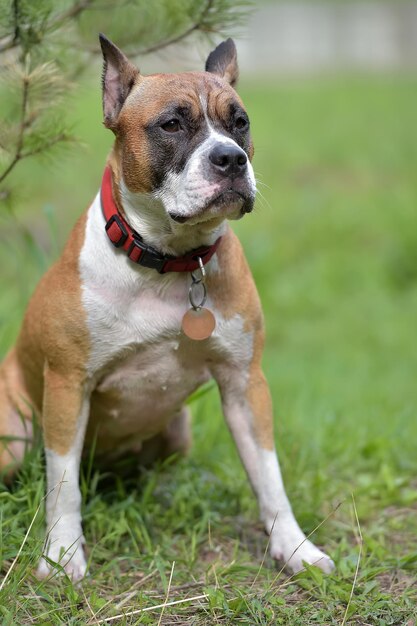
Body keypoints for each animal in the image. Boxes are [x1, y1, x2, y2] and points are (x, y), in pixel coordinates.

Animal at [0, 35, 334, 580]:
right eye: (172, 124)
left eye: (240, 122)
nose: (231, 159)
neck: (169, 262)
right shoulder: (68, 385)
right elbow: (63, 485)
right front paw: (63, 556)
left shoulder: (245, 384)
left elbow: (269, 475)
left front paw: (295, 548)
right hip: (12, 440)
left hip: (179, 432)